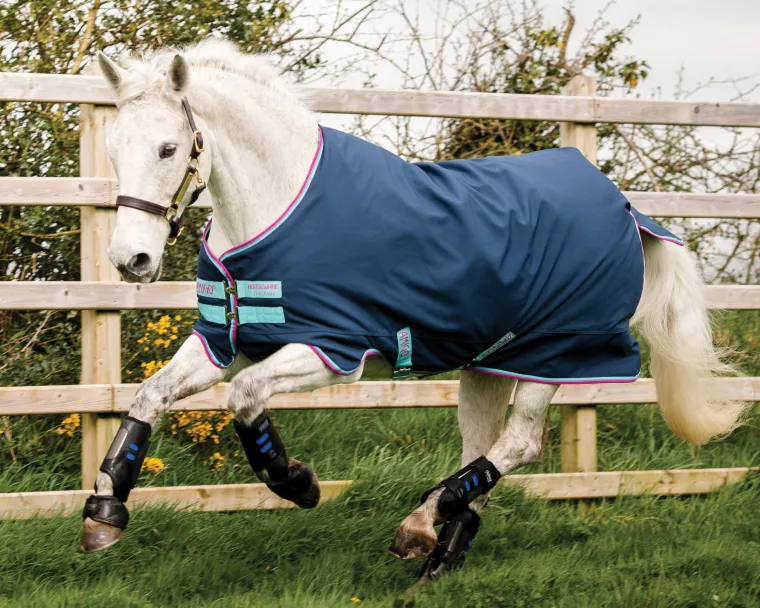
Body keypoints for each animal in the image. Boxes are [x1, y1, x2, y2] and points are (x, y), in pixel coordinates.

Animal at [79, 39, 746, 586]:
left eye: (169, 148)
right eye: (114, 148)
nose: (131, 260)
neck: (278, 207)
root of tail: (628, 209)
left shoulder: (331, 350)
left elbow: (244, 399)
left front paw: (298, 483)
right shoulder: (224, 340)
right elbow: (148, 395)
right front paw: (104, 513)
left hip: (556, 356)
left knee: (519, 445)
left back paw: (422, 521)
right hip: (488, 365)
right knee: (484, 448)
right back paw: (439, 552)